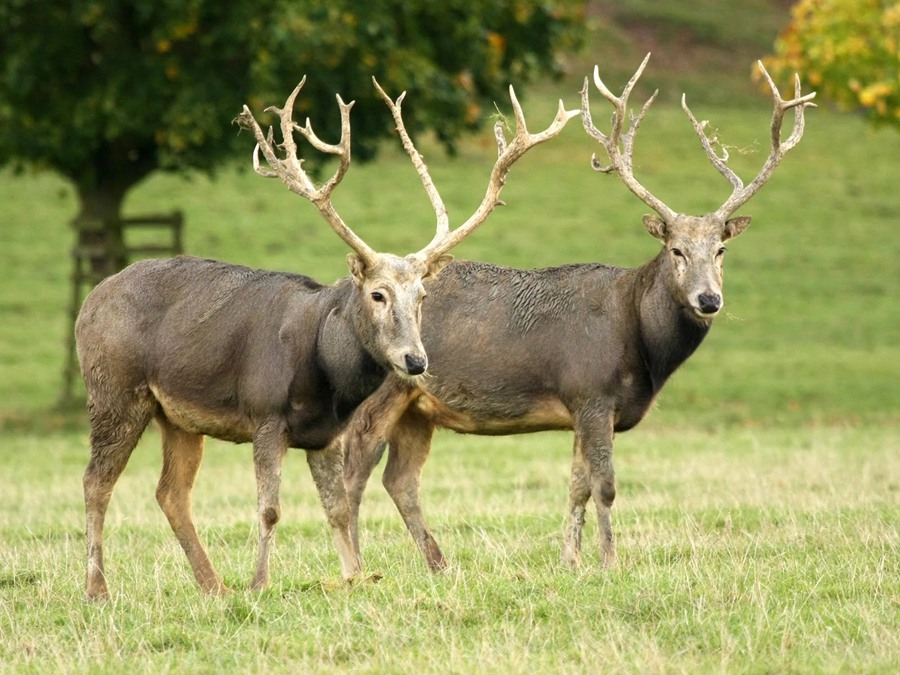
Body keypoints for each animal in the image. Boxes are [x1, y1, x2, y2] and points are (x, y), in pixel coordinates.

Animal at [75, 76, 577, 599]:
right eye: (377, 293)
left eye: (421, 295)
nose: (415, 361)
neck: (324, 373)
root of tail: (89, 302)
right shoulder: (265, 412)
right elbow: (269, 509)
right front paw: (260, 584)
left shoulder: (325, 435)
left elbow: (335, 508)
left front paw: (355, 575)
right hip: (113, 391)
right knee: (95, 482)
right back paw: (98, 589)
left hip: (177, 417)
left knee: (170, 491)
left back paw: (213, 587)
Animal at [341, 55, 816, 572]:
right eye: (676, 250)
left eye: (721, 249)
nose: (708, 299)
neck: (640, 345)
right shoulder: (591, 391)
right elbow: (605, 487)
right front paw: (609, 561)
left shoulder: (584, 405)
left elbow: (577, 485)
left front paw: (570, 559)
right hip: (382, 389)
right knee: (355, 465)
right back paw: (360, 564)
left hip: (418, 407)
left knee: (400, 480)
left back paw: (439, 564)